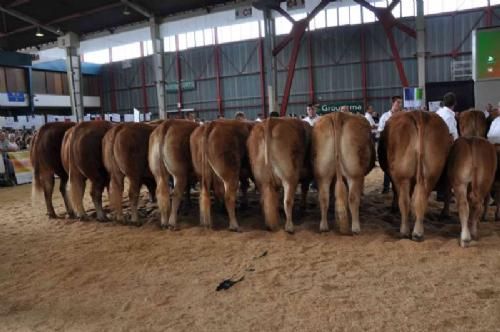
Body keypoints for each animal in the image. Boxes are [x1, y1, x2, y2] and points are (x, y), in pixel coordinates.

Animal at [378, 112, 454, 241]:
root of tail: (419, 114)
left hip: (402, 175)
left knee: (404, 201)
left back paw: (405, 231)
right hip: (430, 175)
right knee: (422, 199)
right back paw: (419, 232)